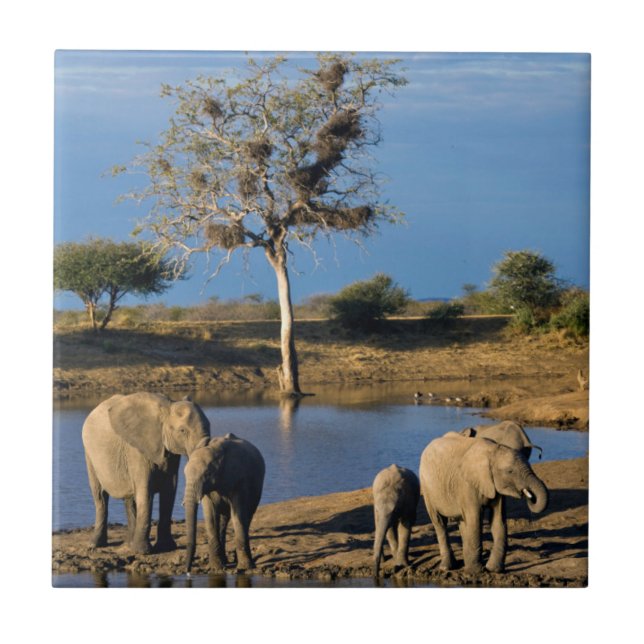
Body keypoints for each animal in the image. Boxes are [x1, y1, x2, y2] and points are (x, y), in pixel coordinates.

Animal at [82, 392, 211, 554]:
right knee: (100, 496)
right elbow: (146, 491)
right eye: (182, 431)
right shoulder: (137, 449)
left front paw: (166, 547)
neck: (167, 408)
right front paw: (142, 552)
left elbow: (169, 491)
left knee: (129, 498)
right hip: (90, 455)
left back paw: (129, 544)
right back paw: (95, 545)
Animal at [183, 433, 265, 573]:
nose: (187, 571)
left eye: (208, 474)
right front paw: (215, 568)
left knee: (247, 517)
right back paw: (225, 561)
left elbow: (239, 514)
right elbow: (210, 516)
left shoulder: (240, 480)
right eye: (184, 473)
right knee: (222, 521)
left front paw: (244, 568)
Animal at [419, 431, 548, 573]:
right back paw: (447, 567)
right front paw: (476, 571)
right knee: (439, 522)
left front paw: (493, 569)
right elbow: (475, 519)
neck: (493, 452)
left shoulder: (494, 485)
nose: (530, 497)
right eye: (510, 471)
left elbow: (498, 520)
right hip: (427, 489)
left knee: (462, 521)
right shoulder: (467, 484)